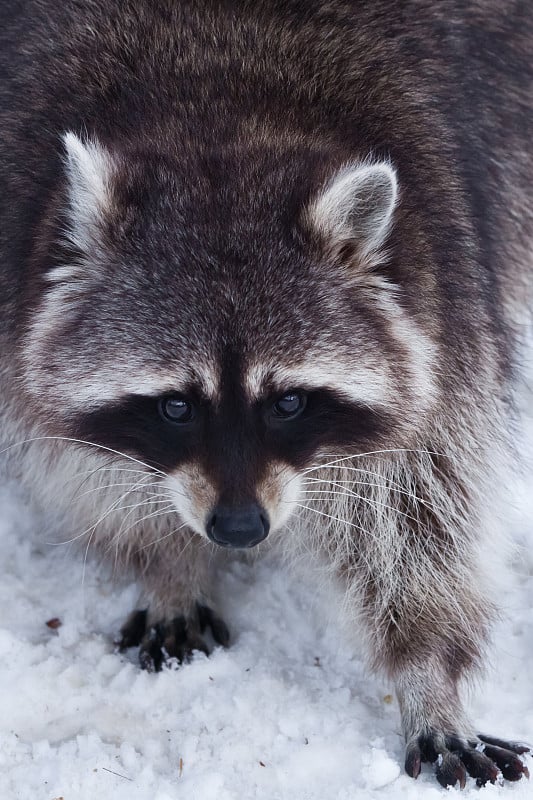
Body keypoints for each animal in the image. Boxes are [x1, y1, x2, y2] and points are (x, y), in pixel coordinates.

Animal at [1, 0, 532, 788]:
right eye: (176, 406)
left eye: (287, 403)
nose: (238, 528)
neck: (221, 108)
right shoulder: (21, 282)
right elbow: (88, 467)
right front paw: (166, 564)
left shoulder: (445, 303)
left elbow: (421, 510)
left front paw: (428, 669)